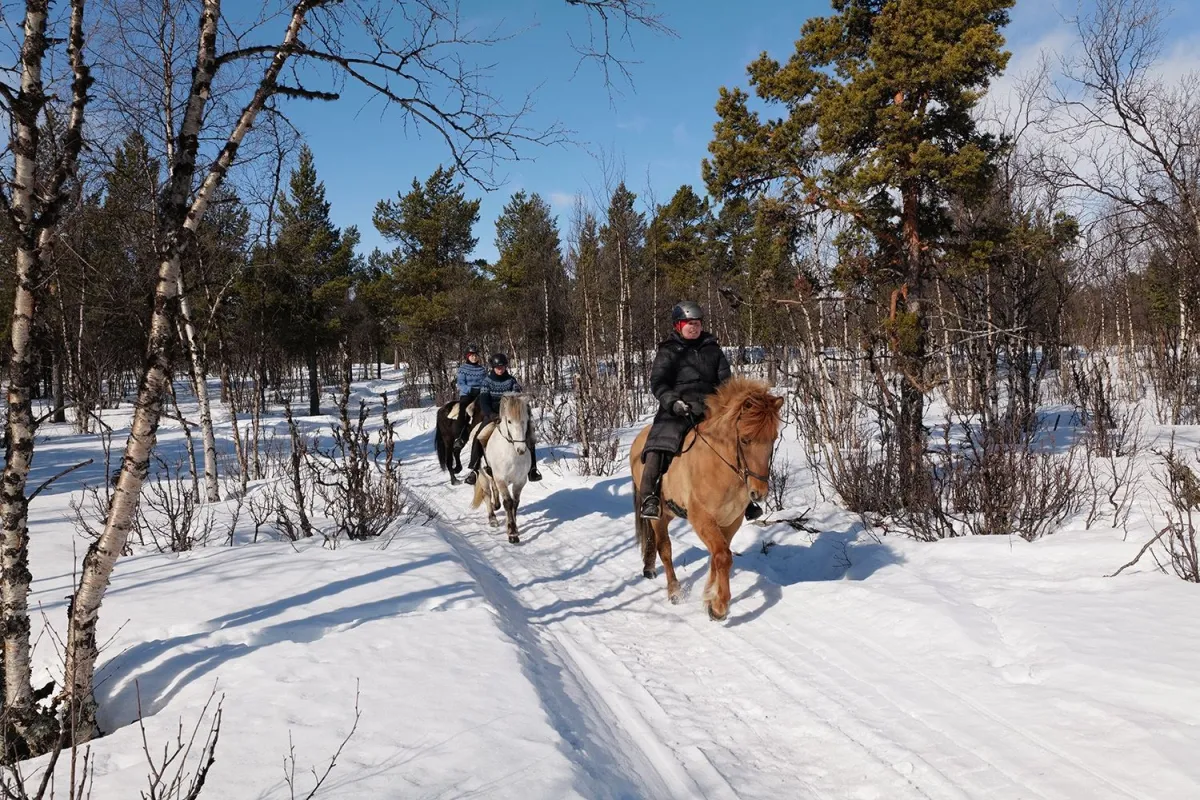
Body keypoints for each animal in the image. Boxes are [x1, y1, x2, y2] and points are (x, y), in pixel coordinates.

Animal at [470, 393, 532, 544]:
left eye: (525, 420)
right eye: (509, 421)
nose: (521, 449)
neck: (511, 452)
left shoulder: (520, 481)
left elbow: (515, 503)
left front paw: (514, 528)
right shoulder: (501, 480)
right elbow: (508, 503)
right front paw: (512, 533)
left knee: (494, 491)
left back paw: (495, 505)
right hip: (482, 475)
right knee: (487, 494)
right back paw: (492, 518)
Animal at [630, 377, 783, 621]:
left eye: (773, 439)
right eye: (745, 440)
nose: (758, 492)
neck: (721, 466)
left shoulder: (730, 521)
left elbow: (718, 556)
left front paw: (710, 599)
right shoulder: (702, 519)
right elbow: (723, 556)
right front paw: (719, 607)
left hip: (671, 512)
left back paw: (649, 568)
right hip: (659, 514)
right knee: (665, 548)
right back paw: (674, 592)